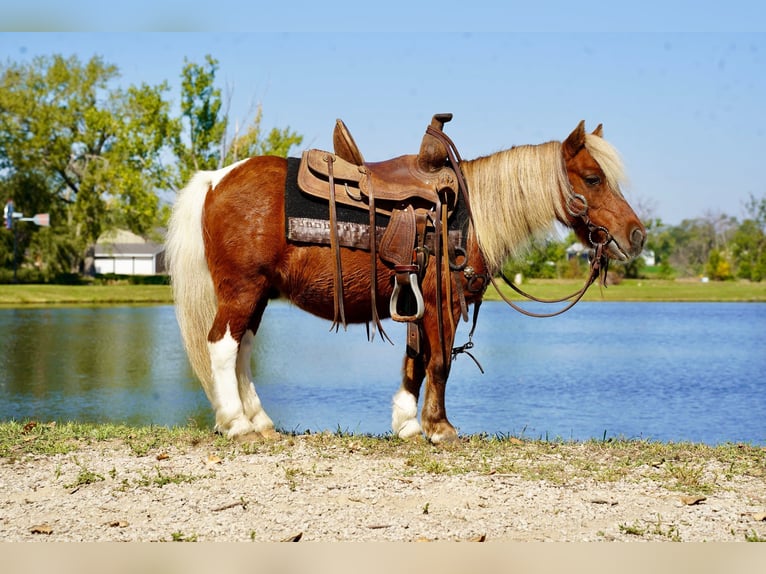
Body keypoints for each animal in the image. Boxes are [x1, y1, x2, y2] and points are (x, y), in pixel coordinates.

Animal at [166, 119, 646, 444]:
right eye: (592, 178)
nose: (636, 235)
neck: (467, 218)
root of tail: (214, 180)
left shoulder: (417, 301)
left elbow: (416, 362)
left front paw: (408, 423)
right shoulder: (441, 302)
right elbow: (440, 363)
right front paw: (439, 427)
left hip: (258, 294)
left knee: (243, 350)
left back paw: (260, 423)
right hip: (242, 290)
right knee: (222, 347)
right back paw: (237, 424)